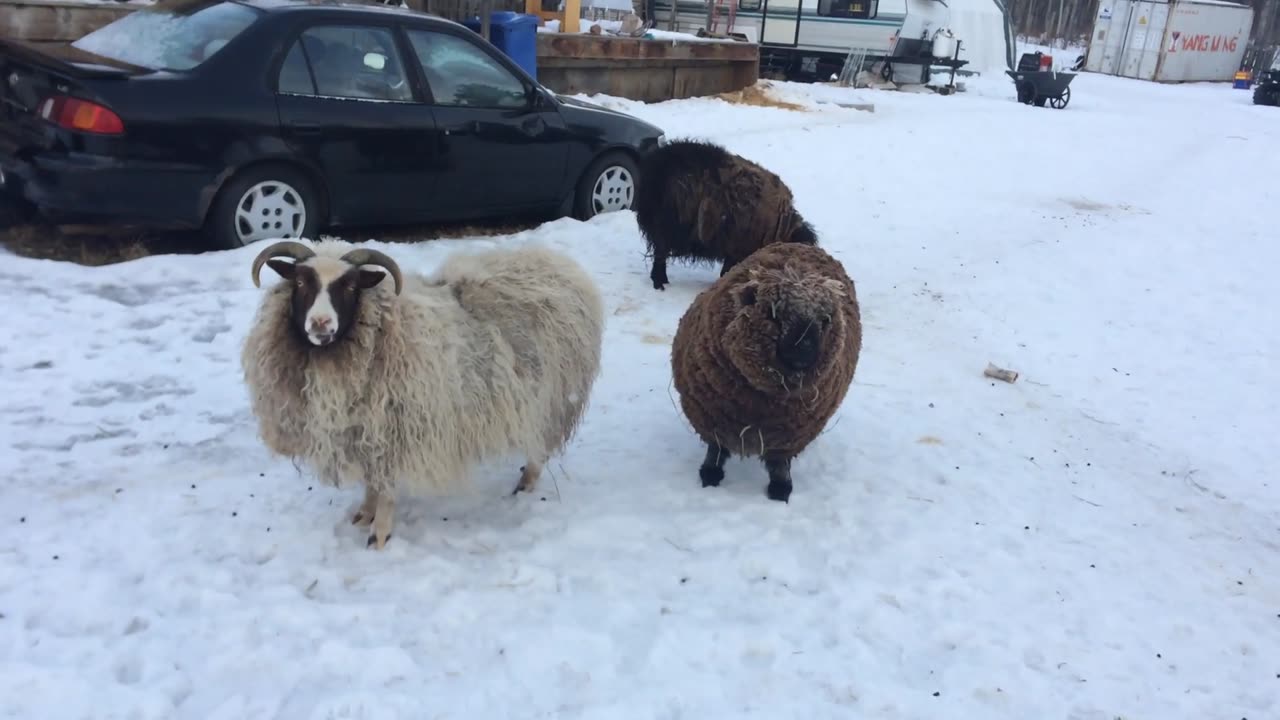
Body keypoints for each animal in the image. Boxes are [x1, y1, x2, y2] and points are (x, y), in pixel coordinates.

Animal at [240, 238, 609, 545]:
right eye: (301, 282)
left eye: (350, 286)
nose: (320, 324)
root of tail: (558, 262)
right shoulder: (364, 430)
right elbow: (372, 480)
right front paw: (364, 513)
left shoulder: (397, 430)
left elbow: (387, 487)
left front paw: (379, 535)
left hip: (555, 397)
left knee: (540, 447)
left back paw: (525, 485)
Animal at [670, 240, 860, 499]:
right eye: (773, 314)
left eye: (825, 320)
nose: (804, 350)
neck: (760, 405)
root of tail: (802, 244)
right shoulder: (712, 419)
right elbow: (716, 449)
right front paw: (710, 475)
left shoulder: (787, 437)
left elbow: (779, 463)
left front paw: (780, 490)